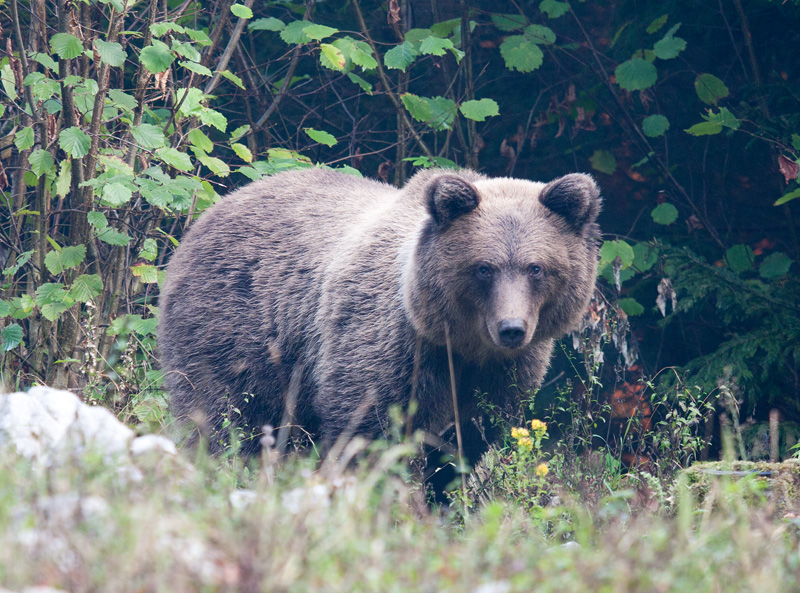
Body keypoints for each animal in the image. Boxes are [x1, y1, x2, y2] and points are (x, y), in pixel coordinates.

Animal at [158, 166, 600, 454]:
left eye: (536, 267)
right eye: (483, 268)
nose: (511, 328)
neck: (459, 344)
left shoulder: (503, 373)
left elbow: (467, 440)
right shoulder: (385, 343)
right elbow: (369, 426)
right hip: (230, 332)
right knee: (222, 415)